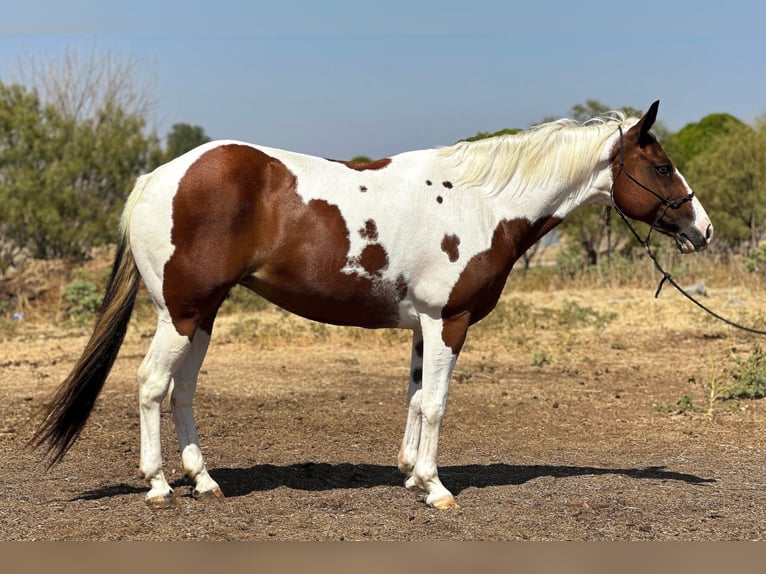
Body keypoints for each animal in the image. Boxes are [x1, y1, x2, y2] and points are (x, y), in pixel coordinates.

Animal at [31, 101, 712, 510]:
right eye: (661, 165)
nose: (702, 229)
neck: (482, 202)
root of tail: (157, 178)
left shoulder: (422, 326)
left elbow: (414, 398)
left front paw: (411, 472)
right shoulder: (448, 321)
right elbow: (436, 404)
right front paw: (436, 489)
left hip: (204, 315)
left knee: (183, 391)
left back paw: (204, 480)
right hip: (181, 311)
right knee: (151, 385)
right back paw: (157, 487)